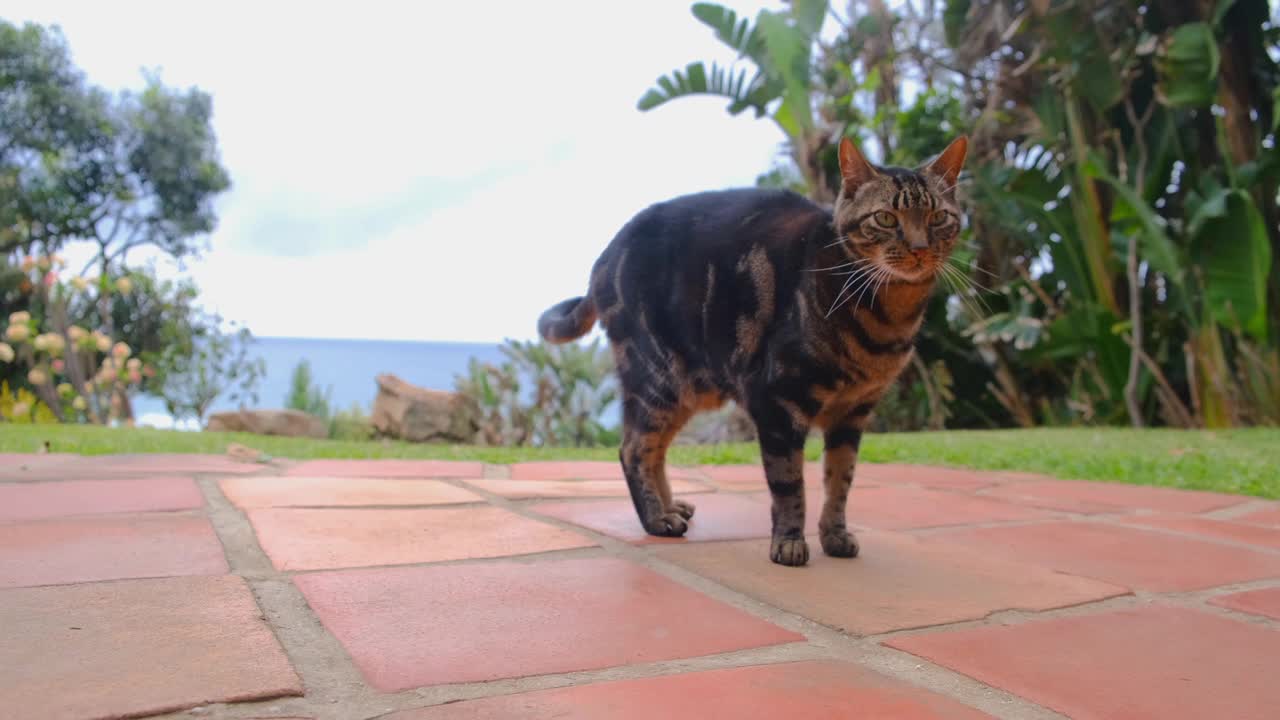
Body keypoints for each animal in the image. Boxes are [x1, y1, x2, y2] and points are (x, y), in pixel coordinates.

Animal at [535, 133, 962, 561]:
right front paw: (789, 542)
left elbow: (840, 481)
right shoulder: (777, 401)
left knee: (655, 450)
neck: (888, 317)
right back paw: (657, 519)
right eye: (886, 218)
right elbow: (789, 484)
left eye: (938, 218)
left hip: (685, 390)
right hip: (658, 378)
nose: (920, 248)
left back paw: (672, 507)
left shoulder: (853, 413)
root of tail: (603, 259)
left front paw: (835, 535)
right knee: (633, 448)